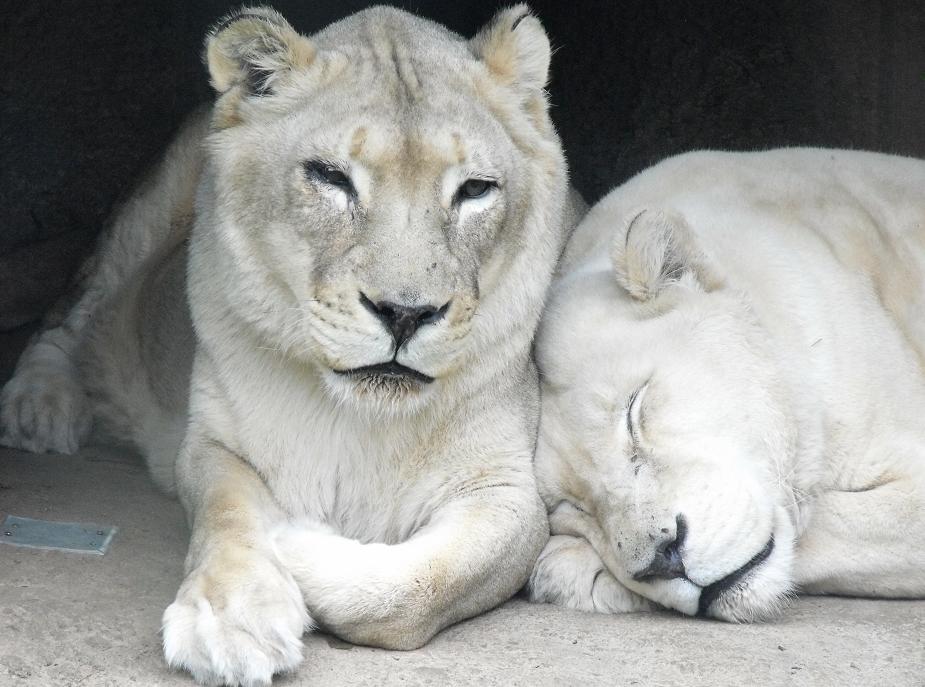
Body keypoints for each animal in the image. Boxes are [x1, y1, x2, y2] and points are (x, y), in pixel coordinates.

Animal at [0, 5, 577, 685]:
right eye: (329, 177)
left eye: (475, 190)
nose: (405, 314)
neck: (360, 416)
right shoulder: (216, 444)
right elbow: (228, 516)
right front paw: (231, 619)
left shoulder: (508, 493)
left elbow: (416, 590)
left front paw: (294, 541)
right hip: (150, 206)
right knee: (67, 312)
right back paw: (39, 410)